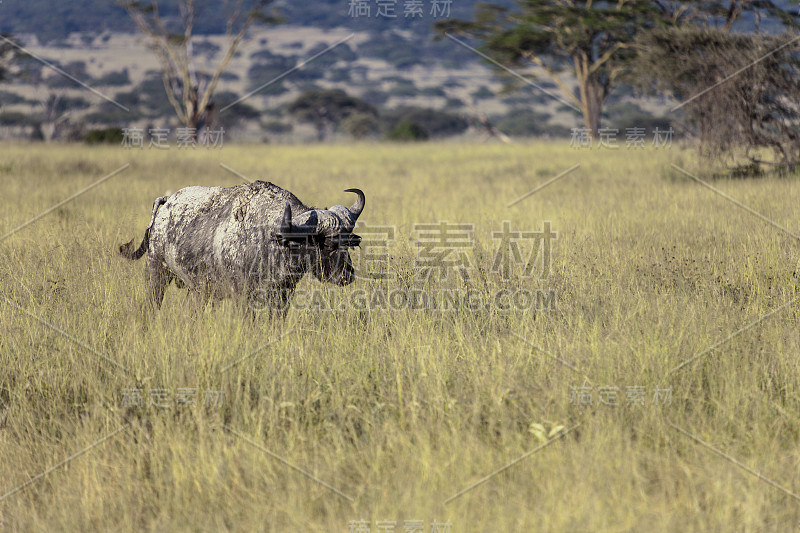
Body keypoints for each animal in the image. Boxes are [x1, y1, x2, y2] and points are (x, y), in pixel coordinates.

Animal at [120, 182, 364, 316]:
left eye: (347, 242)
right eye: (328, 244)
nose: (347, 275)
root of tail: (168, 201)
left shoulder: (283, 296)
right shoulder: (244, 297)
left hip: (197, 290)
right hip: (156, 271)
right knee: (151, 306)